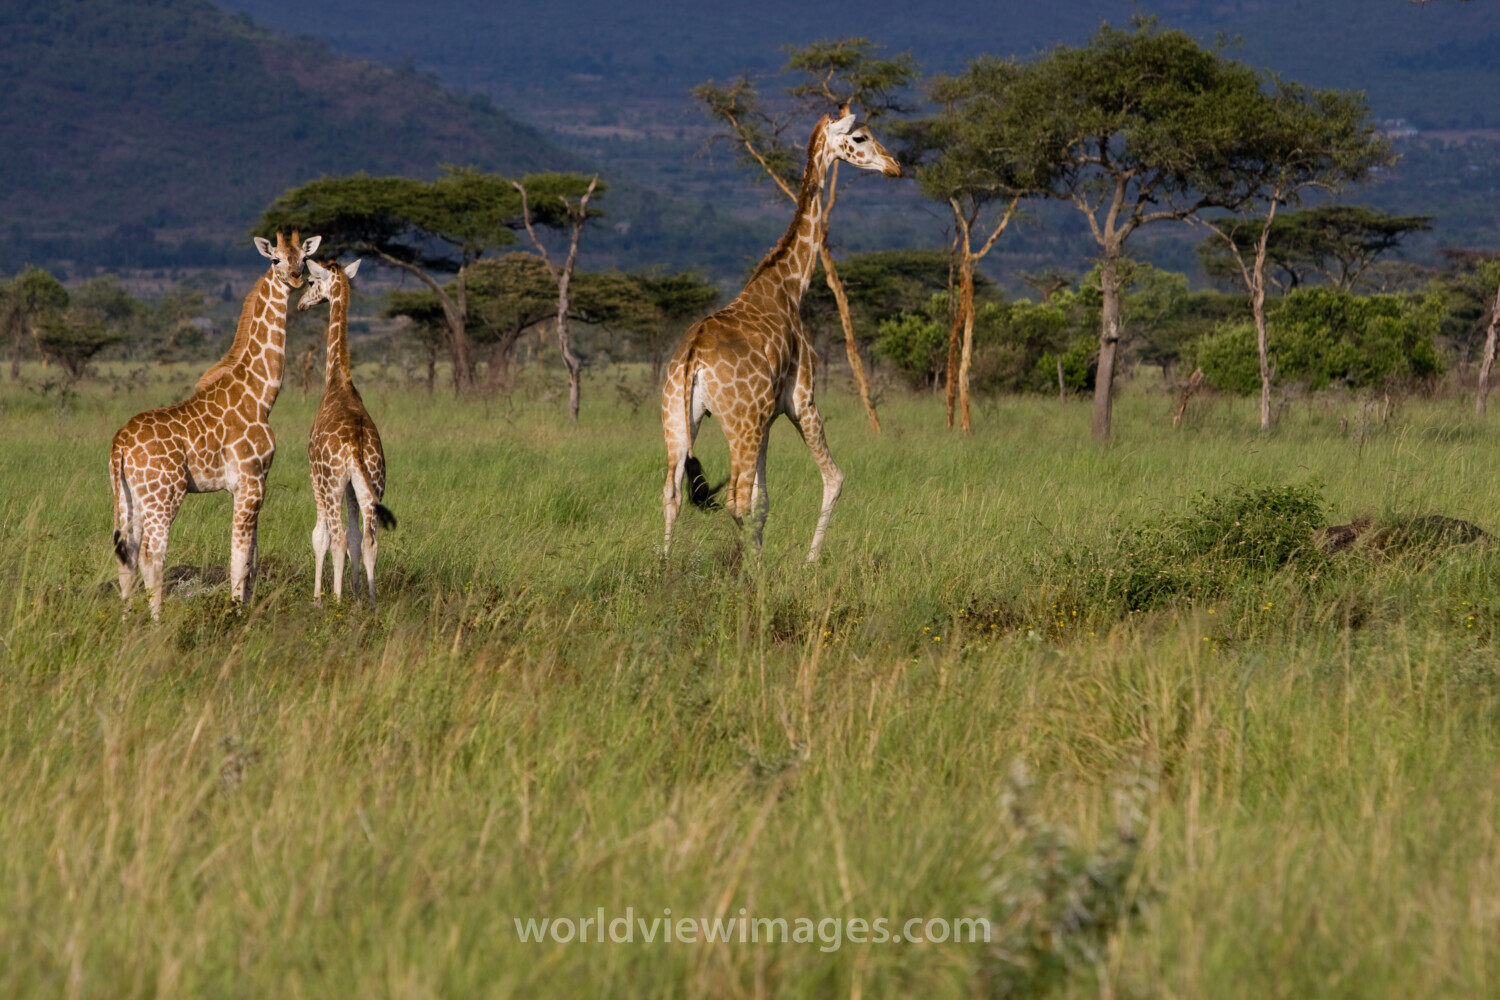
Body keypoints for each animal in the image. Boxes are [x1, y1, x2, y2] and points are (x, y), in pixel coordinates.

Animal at [110, 231, 319, 618]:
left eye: (304, 257)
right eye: (275, 260)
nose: (297, 277)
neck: (261, 395)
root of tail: (120, 444)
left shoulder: (251, 485)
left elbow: (252, 555)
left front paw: (246, 608)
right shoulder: (250, 481)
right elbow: (239, 557)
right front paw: (235, 612)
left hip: (129, 496)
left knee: (126, 554)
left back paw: (128, 618)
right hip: (164, 495)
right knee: (151, 555)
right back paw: (157, 620)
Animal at [299, 258, 396, 609]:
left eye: (312, 281)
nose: (301, 304)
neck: (338, 381)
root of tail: (355, 444)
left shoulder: (314, 475)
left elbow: (321, 535)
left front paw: (320, 596)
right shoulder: (356, 489)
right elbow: (356, 539)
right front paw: (356, 594)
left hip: (331, 484)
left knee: (337, 536)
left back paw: (335, 601)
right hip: (373, 486)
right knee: (369, 540)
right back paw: (370, 602)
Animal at [660, 114, 901, 561]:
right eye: (861, 137)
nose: (895, 165)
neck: (789, 284)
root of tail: (693, 358)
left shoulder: (768, 418)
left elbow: (763, 500)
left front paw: (763, 556)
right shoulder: (801, 400)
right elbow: (832, 479)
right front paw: (808, 562)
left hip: (680, 419)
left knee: (672, 492)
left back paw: (663, 565)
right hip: (741, 424)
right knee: (734, 498)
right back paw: (747, 570)